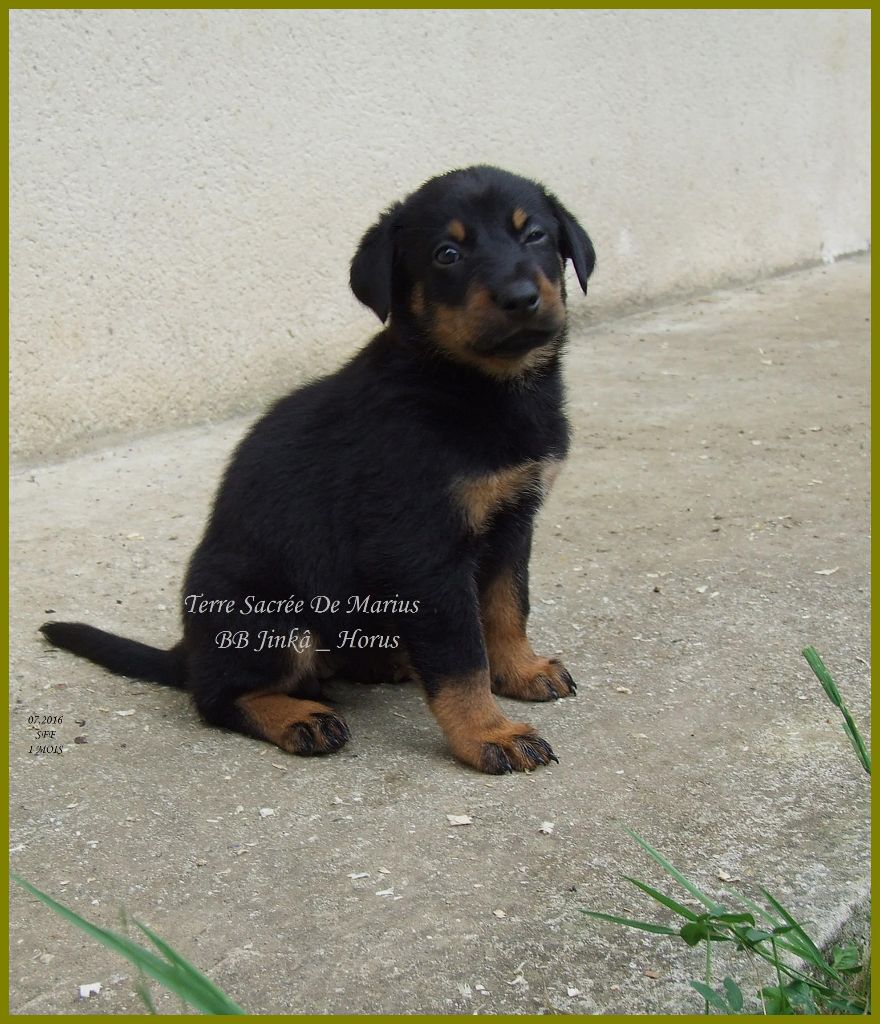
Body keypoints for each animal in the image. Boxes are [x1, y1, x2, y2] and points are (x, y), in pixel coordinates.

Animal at [41, 165, 594, 774]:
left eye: (535, 235)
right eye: (447, 254)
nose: (521, 298)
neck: (474, 386)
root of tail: (187, 650)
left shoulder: (513, 522)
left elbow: (507, 607)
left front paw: (521, 670)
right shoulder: (425, 552)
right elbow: (460, 658)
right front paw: (489, 733)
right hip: (271, 619)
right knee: (217, 695)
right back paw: (298, 718)